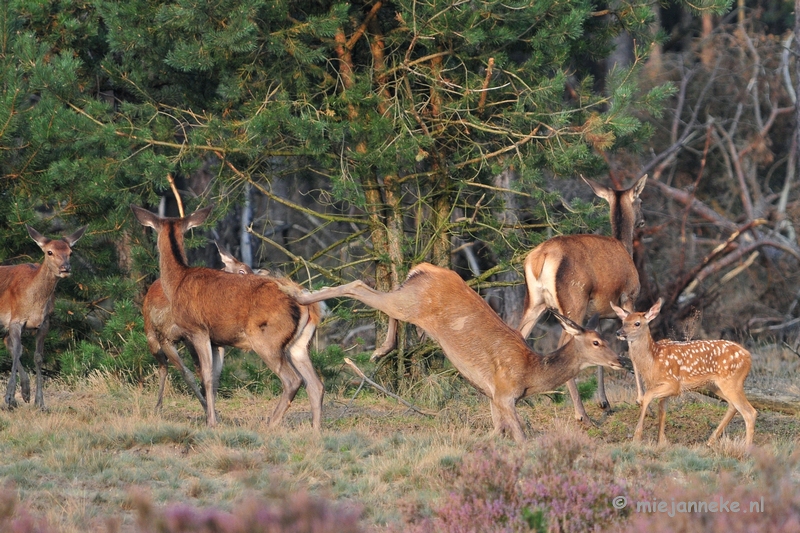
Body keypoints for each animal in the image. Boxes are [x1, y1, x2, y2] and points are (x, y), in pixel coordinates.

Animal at [0, 222, 88, 410]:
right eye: (49, 252)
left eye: (70, 252)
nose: (65, 268)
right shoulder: (15, 320)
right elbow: (18, 351)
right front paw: (8, 398)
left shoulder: (45, 323)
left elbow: (38, 357)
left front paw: (39, 402)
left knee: (6, 341)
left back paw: (25, 392)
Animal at [133, 206, 326, 430]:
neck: (177, 282)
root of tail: (306, 304)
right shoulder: (217, 341)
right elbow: (214, 378)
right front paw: (213, 416)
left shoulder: (197, 330)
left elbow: (206, 376)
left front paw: (211, 422)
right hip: (300, 344)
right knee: (315, 384)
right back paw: (315, 430)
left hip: (265, 340)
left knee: (293, 380)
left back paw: (270, 424)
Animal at [288, 260, 624, 440]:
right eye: (597, 342)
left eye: (609, 341)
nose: (619, 361)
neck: (531, 374)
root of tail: (424, 268)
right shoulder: (505, 392)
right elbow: (520, 435)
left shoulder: (493, 396)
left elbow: (496, 432)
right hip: (411, 302)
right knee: (359, 285)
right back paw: (303, 295)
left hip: (407, 297)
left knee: (381, 292)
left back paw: (380, 349)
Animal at [516, 175, 648, 424]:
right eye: (641, 200)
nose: (643, 221)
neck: (625, 246)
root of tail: (541, 257)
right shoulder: (629, 296)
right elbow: (632, 345)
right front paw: (641, 398)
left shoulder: (597, 312)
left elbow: (599, 344)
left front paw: (604, 402)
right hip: (573, 299)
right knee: (564, 344)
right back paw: (581, 414)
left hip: (535, 301)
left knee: (518, 333)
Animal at [612, 298, 756, 446]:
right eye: (623, 321)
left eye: (637, 323)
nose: (619, 332)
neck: (653, 361)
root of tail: (748, 356)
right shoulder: (662, 388)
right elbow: (662, 411)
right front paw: (661, 442)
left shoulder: (673, 383)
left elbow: (646, 397)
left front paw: (637, 437)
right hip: (715, 385)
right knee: (733, 406)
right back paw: (710, 441)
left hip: (732, 381)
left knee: (750, 412)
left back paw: (746, 448)